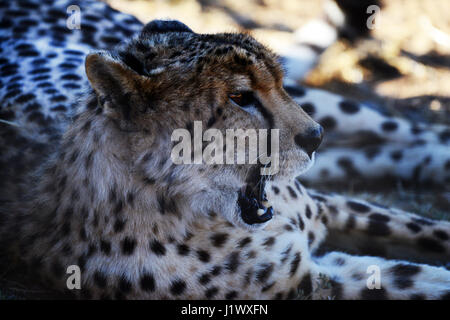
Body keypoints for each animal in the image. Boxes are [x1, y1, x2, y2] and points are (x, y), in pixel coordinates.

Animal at [0, 0, 448, 300]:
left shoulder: (327, 209)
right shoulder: (315, 281)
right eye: (240, 97)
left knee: (408, 129)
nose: (314, 137)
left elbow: (427, 230)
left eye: (278, 83)